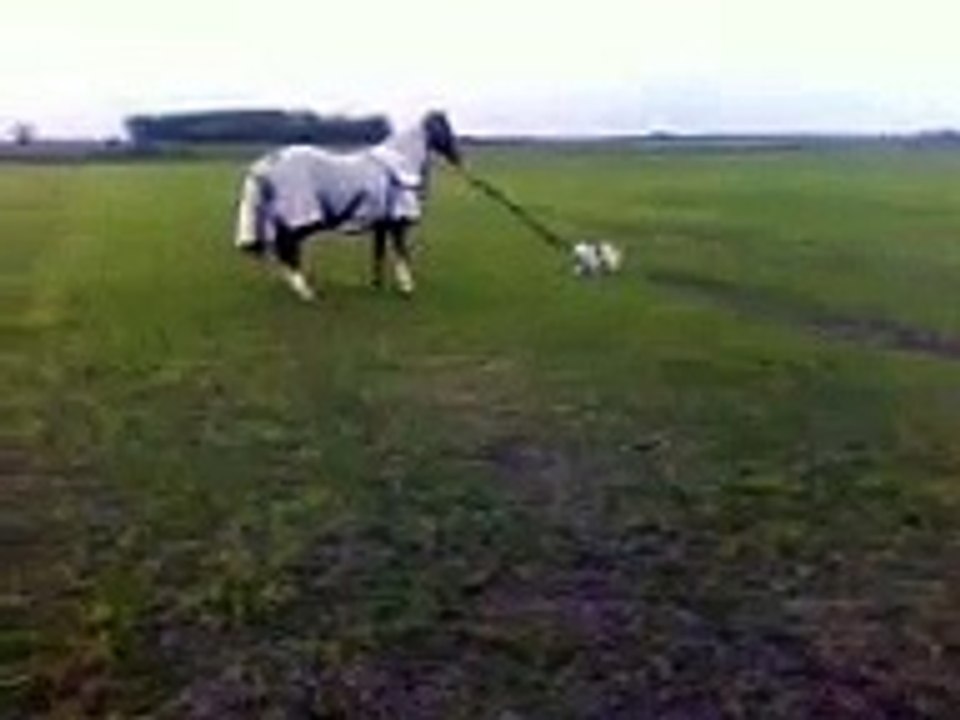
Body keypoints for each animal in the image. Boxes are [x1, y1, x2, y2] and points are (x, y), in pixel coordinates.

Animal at [234, 110, 461, 301]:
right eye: (445, 128)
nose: (456, 157)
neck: (397, 166)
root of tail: (269, 162)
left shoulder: (381, 223)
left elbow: (379, 253)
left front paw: (377, 284)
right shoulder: (397, 224)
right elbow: (401, 253)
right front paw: (406, 287)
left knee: (285, 250)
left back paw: (296, 286)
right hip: (298, 219)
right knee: (289, 248)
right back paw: (305, 291)